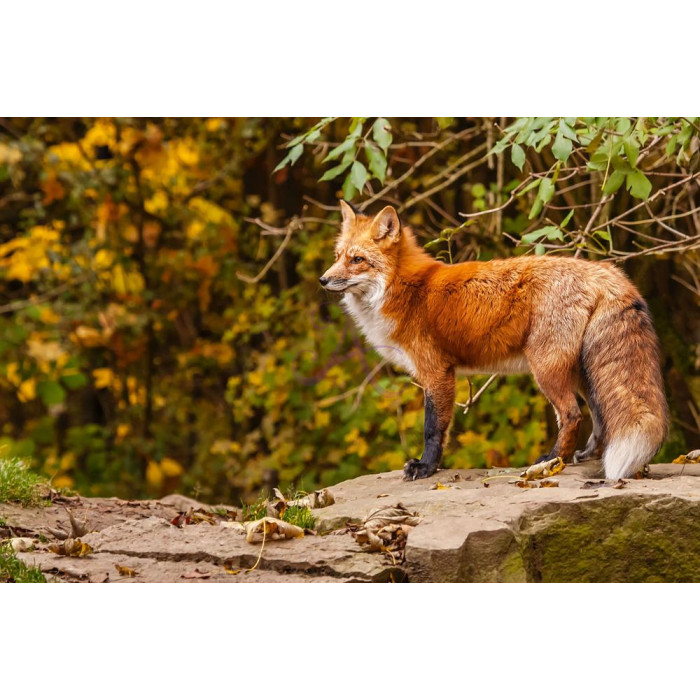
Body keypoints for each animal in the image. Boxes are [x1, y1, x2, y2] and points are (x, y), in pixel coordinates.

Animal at [320, 199, 669, 481]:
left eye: (357, 260)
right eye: (337, 256)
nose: (323, 279)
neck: (404, 289)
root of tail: (604, 270)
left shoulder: (437, 372)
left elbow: (433, 429)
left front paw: (425, 467)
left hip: (547, 368)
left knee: (572, 416)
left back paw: (551, 461)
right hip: (584, 371)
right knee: (599, 417)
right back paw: (583, 457)